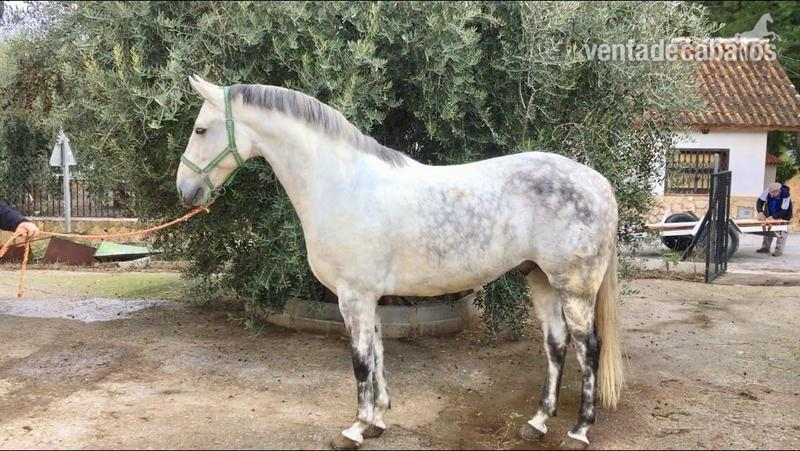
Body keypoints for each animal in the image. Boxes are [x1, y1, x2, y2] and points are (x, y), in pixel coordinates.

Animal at [176, 75, 623, 450]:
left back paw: (579, 430)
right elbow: (376, 354)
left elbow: (360, 362)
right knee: (556, 344)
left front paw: (355, 429)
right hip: (541, 280)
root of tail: (598, 182)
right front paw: (376, 421)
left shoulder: (353, 297)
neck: (343, 184)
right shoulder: (369, 297)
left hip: (574, 287)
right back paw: (537, 422)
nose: (185, 189)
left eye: (200, 129)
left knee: (589, 349)